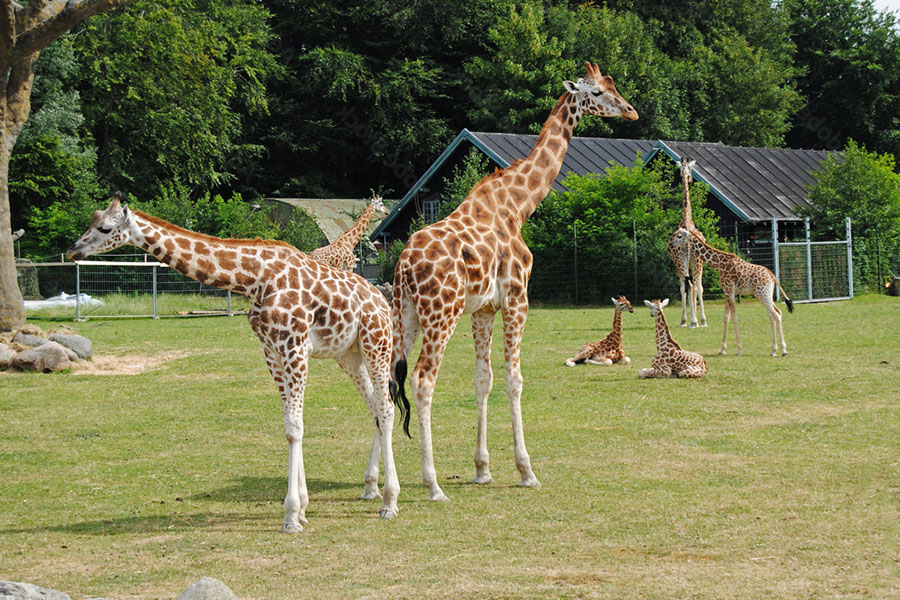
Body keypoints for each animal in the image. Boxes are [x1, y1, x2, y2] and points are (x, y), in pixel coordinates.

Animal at [68, 193, 406, 536]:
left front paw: (290, 516)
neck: (254, 279)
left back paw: (389, 502)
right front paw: (301, 510)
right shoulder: (271, 351)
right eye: (92, 220)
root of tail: (381, 299)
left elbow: (296, 427)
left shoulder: (294, 346)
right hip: (349, 354)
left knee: (386, 409)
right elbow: (290, 427)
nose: (73, 250)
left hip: (376, 344)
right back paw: (370, 487)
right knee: (374, 408)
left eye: (104, 227)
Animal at [390, 62, 636, 502]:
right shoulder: (518, 298)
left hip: (407, 315)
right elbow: (514, 380)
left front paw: (482, 469)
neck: (519, 205)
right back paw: (432, 484)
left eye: (613, 86)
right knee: (422, 379)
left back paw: (380, 484)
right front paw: (526, 470)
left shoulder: (484, 309)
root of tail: (403, 265)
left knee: (384, 380)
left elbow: (483, 380)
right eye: (596, 91)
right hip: (441, 315)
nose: (631, 111)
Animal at [664, 157, 708, 328]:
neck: (687, 219)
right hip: (692, 261)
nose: (689, 178)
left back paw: (692, 321)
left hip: (685, 261)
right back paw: (696, 321)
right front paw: (695, 320)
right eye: (691, 169)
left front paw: (687, 320)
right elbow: (694, 287)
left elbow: (685, 287)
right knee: (694, 286)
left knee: (689, 286)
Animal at [668, 226, 796, 356]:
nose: (671, 244)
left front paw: (739, 350)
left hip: (762, 294)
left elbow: (734, 317)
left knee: (776, 314)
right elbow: (726, 318)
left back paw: (783, 350)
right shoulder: (728, 292)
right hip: (766, 295)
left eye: (679, 236)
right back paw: (773, 350)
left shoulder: (729, 290)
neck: (720, 265)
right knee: (774, 314)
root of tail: (772, 276)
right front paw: (722, 349)